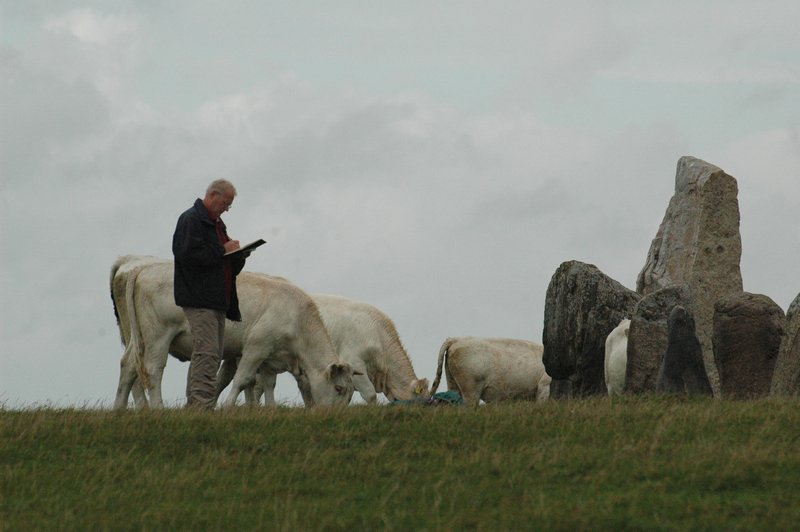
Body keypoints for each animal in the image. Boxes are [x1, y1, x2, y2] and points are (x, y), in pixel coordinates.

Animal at [110, 256, 356, 410]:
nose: (335, 415)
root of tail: (142, 268)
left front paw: (269, 409)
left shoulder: (271, 356)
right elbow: (243, 379)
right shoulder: (256, 346)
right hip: (158, 336)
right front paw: (228, 406)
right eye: (339, 388)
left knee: (128, 366)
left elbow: (268, 384)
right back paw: (158, 408)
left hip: (138, 338)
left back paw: (119, 409)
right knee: (153, 369)